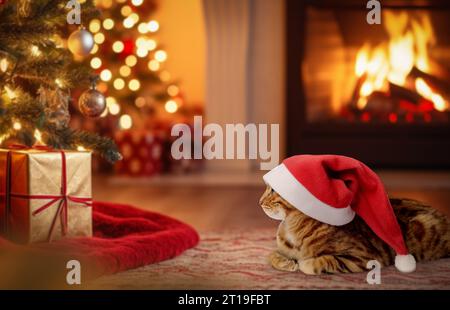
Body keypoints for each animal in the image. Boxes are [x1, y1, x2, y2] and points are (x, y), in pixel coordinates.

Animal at [260, 184, 450, 274]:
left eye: (273, 190)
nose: (260, 201)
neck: (291, 225)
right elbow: (271, 255)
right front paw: (286, 262)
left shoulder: (364, 256)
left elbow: (321, 261)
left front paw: (303, 262)